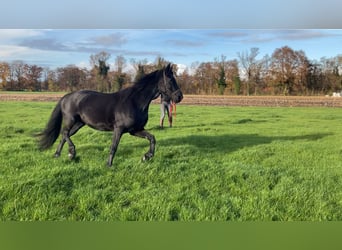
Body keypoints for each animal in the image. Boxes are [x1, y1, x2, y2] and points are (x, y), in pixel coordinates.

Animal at [38, 63, 183, 167]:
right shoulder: (118, 129)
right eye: (170, 80)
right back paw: (71, 152)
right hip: (70, 120)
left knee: (64, 135)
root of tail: (66, 97)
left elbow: (152, 138)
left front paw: (146, 157)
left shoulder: (135, 130)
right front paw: (109, 164)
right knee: (64, 133)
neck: (134, 101)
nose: (180, 97)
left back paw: (60, 155)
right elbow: (114, 147)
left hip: (79, 123)